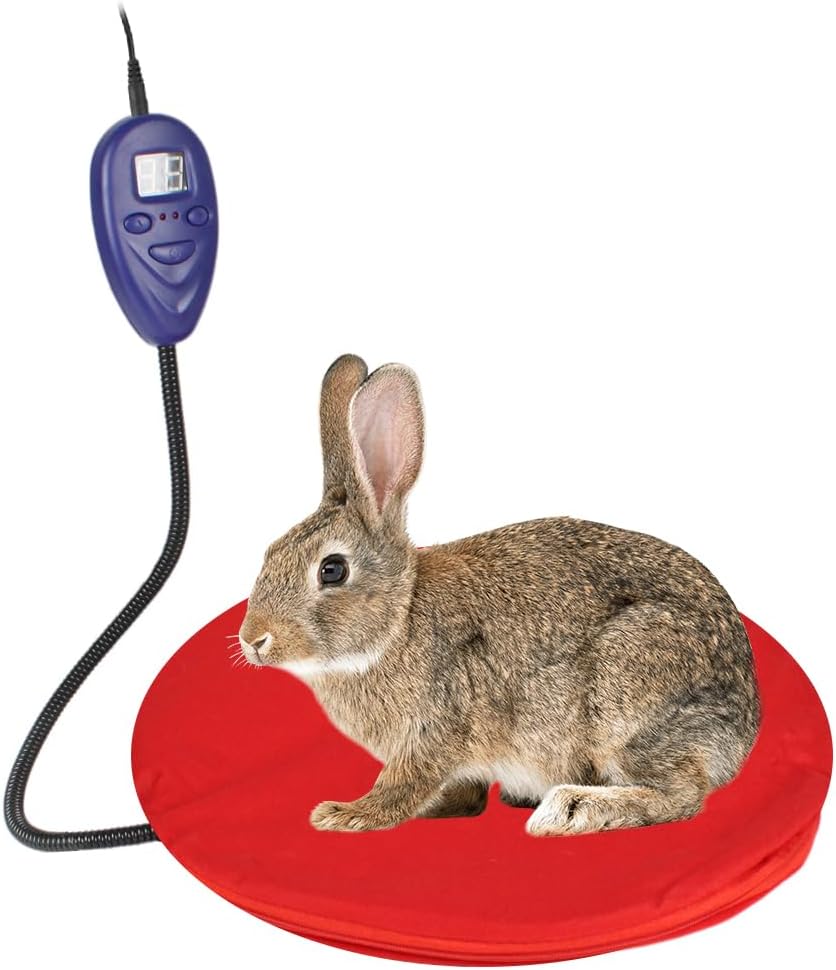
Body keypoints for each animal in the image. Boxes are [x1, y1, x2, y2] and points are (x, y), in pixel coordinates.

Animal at [238, 354, 761, 836]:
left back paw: (571, 809)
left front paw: (343, 814)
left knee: (680, 795)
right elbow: (461, 794)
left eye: (332, 570)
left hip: (628, 696)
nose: (253, 639)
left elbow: (402, 786)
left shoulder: (434, 731)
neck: (398, 621)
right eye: (269, 552)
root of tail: (745, 725)